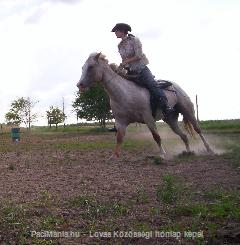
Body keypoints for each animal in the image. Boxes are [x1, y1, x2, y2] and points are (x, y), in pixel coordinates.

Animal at [76, 52, 212, 158]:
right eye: (82, 67)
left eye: (91, 67)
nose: (79, 85)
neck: (125, 93)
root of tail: (176, 86)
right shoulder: (121, 122)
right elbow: (119, 138)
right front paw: (114, 156)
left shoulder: (148, 118)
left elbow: (156, 136)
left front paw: (162, 154)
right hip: (171, 119)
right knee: (184, 135)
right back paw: (188, 152)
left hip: (188, 111)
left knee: (198, 129)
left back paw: (209, 149)